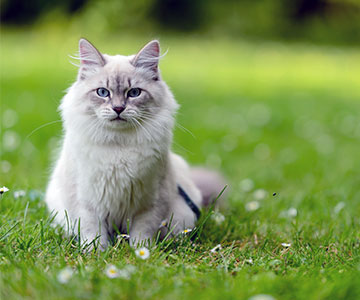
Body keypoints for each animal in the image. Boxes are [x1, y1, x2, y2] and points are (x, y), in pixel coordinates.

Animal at [45, 38, 225, 248]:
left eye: (134, 93)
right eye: (102, 92)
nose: (118, 108)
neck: (119, 146)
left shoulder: (149, 204)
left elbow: (142, 234)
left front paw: (141, 253)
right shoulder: (86, 203)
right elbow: (93, 234)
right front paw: (96, 253)